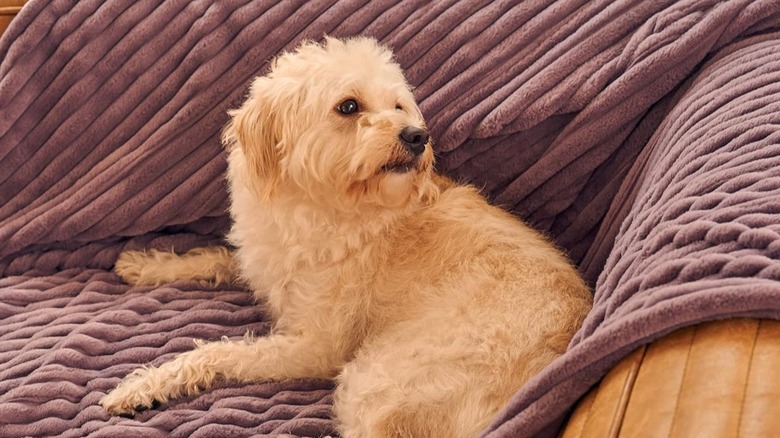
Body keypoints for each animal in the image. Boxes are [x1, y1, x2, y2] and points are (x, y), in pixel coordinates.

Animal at [102, 36, 592, 436]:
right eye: (349, 106)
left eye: (397, 106)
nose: (419, 135)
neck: (317, 206)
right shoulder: (260, 260)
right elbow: (217, 256)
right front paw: (146, 263)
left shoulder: (315, 348)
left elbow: (217, 353)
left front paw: (142, 384)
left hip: (374, 381)